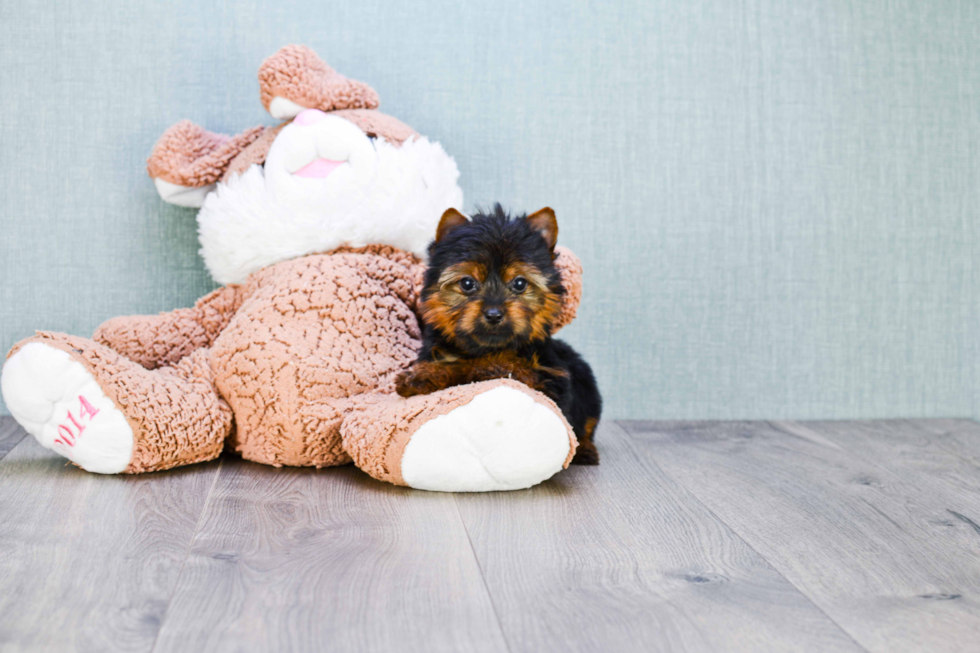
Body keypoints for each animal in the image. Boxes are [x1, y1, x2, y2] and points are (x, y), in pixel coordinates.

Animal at [394, 204, 600, 464]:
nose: (493, 314)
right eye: (467, 283)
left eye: (520, 283)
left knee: (587, 424)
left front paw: (487, 365)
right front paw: (422, 376)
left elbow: (500, 365)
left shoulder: (551, 381)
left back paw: (585, 450)